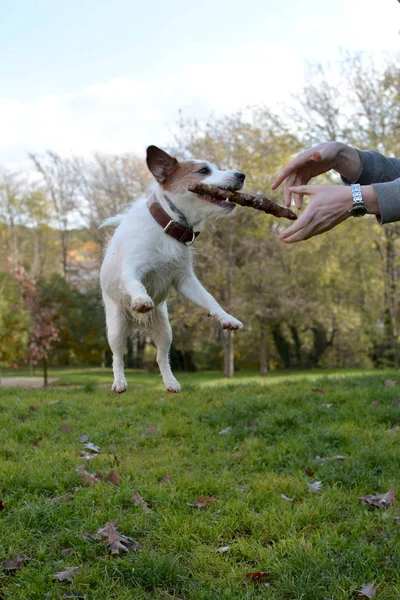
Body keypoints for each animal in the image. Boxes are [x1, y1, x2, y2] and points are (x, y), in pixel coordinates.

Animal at [99, 145, 244, 394]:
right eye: (203, 170)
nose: (241, 175)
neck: (167, 225)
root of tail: (138, 322)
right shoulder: (131, 270)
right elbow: (135, 283)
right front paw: (141, 299)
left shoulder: (185, 280)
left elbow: (210, 299)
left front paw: (226, 318)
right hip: (116, 326)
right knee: (118, 356)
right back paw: (119, 382)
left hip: (165, 329)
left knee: (161, 356)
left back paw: (170, 382)